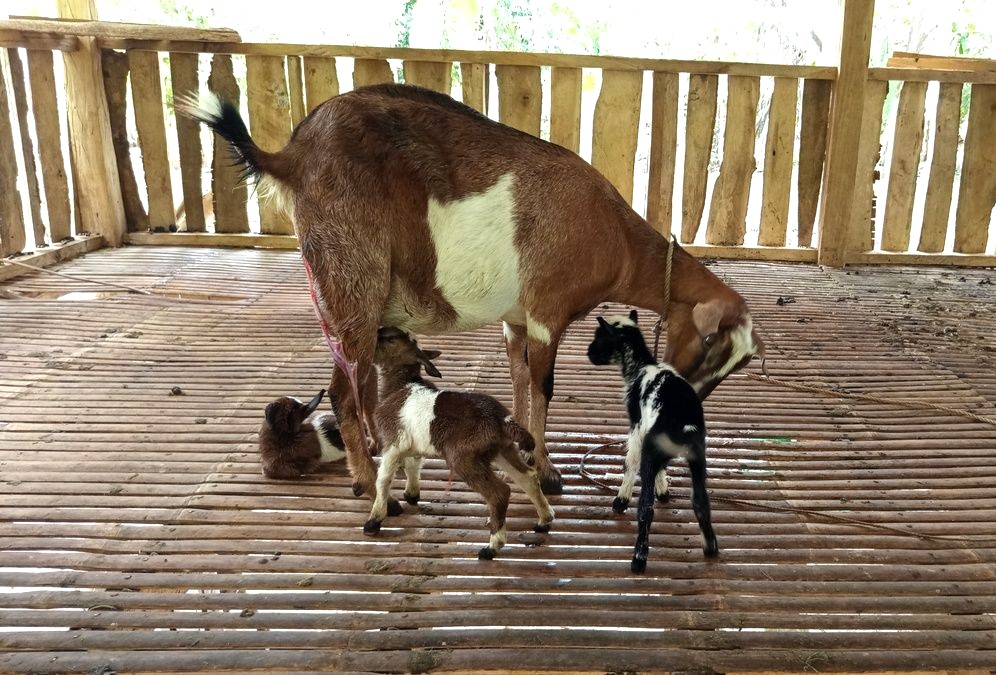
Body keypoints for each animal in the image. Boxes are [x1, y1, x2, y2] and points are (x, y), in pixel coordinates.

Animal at [181, 83, 763, 502]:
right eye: (708, 344)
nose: (686, 403)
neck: (614, 236)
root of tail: (292, 155)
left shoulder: (516, 319)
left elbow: (520, 380)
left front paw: (526, 452)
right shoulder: (548, 311)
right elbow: (544, 388)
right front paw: (547, 472)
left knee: (356, 380)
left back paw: (369, 452)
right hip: (351, 278)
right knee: (345, 391)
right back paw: (367, 481)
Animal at [364, 327, 554, 560]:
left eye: (390, 339)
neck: (400, 387)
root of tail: (502, 420)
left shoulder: (393, 441)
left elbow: (383, 479)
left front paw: (374, 520)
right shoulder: (413, 444)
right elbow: (413, 466)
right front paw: (412, 494)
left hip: (464, 456)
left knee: (499, 493)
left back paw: (492, 547)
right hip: (503, 449)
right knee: (528, 477)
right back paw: (544, 520)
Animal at [587, 311, 718, 573]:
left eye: (600, 338)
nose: (589, 353)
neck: (640, 367)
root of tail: (684, 425)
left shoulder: (638, 426)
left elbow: (630, 462)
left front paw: (621, 500)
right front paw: (664, 489)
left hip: (654, 447)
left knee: (646, 507)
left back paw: (639, 558)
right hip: (697, 456)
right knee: (700, 499)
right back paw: (710, 547)